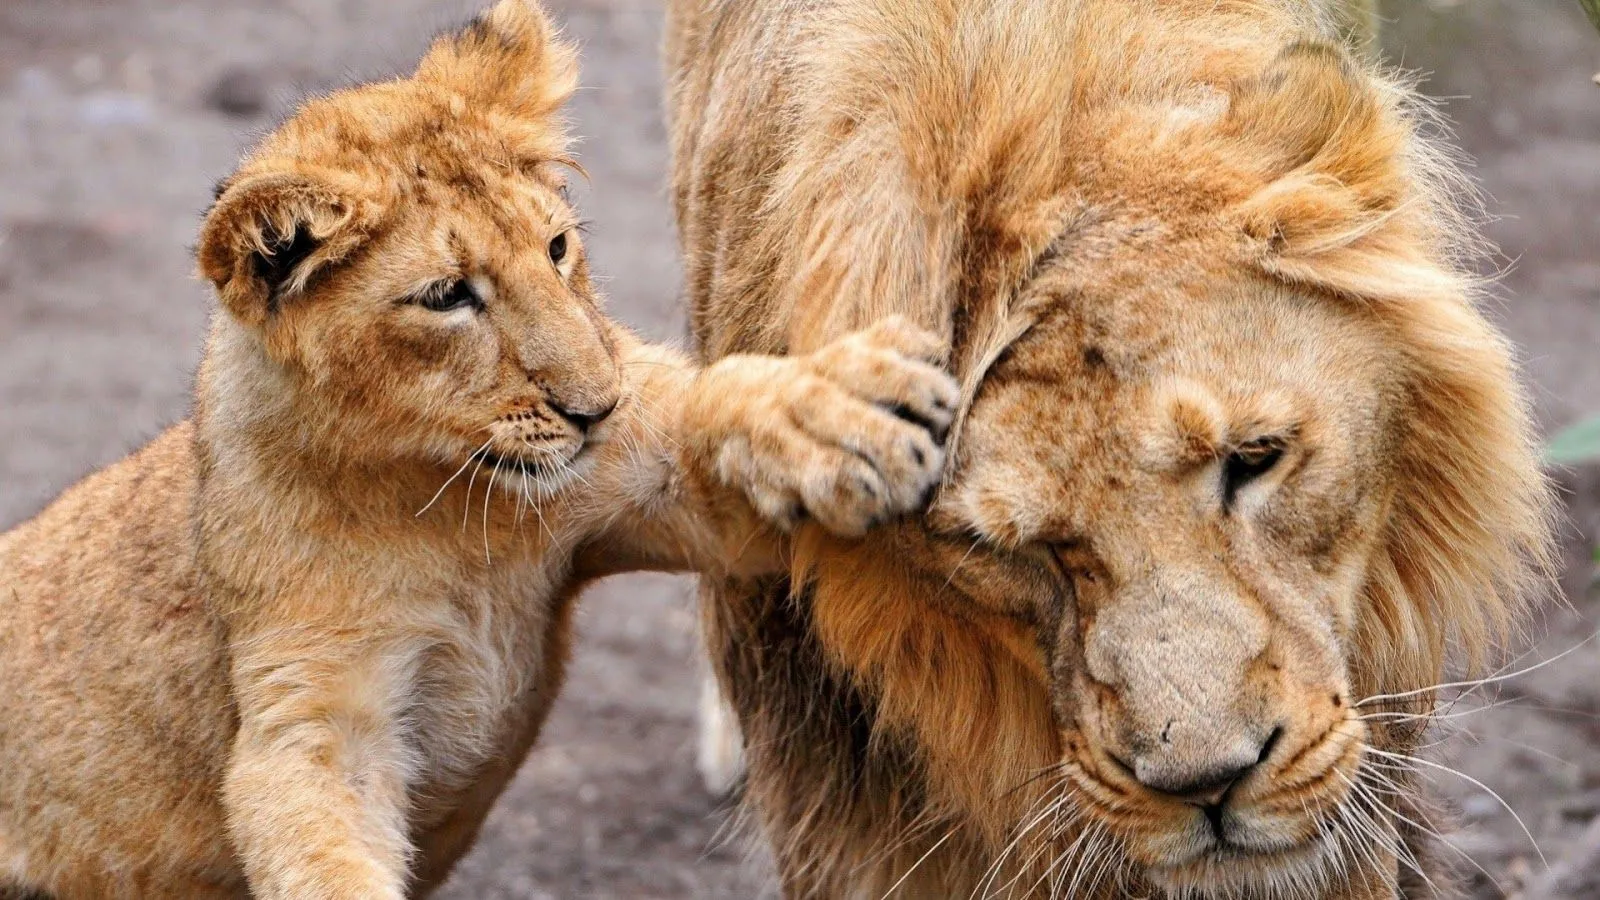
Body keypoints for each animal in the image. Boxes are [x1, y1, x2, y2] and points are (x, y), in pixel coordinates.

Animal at [0, 2, 960, 897]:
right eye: (447, 296)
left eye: (557, 247)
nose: (597, 408)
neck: (444, 508)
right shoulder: (308, 711)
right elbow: (322, 843)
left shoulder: (635, 498)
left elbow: (710, 407)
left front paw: (839, 411)